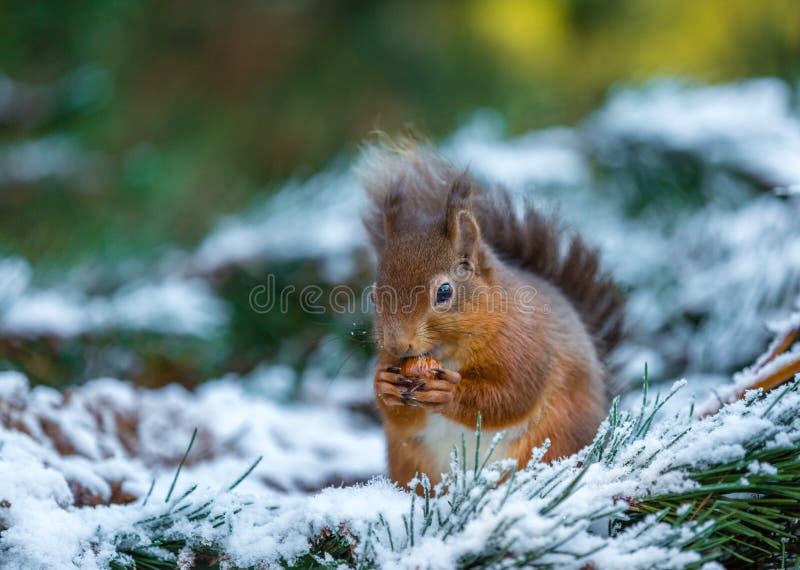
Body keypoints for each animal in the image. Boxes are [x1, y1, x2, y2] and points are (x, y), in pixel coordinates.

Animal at [358, 143, 624, 488]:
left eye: (444, 292)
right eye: (373, 295)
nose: (397, 344)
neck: (450, 355)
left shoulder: (528, 347)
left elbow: (510, 397)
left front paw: (449, 392)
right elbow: (401, 420)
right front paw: (384, 385)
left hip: (558, 436)